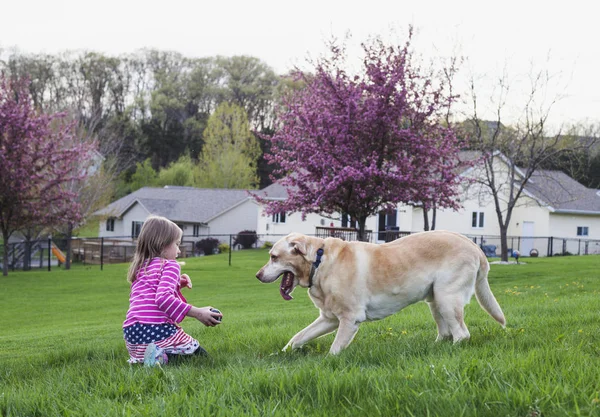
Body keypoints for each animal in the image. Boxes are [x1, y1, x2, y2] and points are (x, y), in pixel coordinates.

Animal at [255, 231, 504, 354]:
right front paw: (281, 354)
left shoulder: (349, 320)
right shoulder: (329, 319)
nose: (257, 275)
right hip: (435, 301)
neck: (319, 261)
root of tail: (475, 246)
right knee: (445, 332)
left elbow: (334, 350)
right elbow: (298, 337)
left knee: (462, 334)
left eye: (273, 257)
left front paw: (326, 364)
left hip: (447, 299)